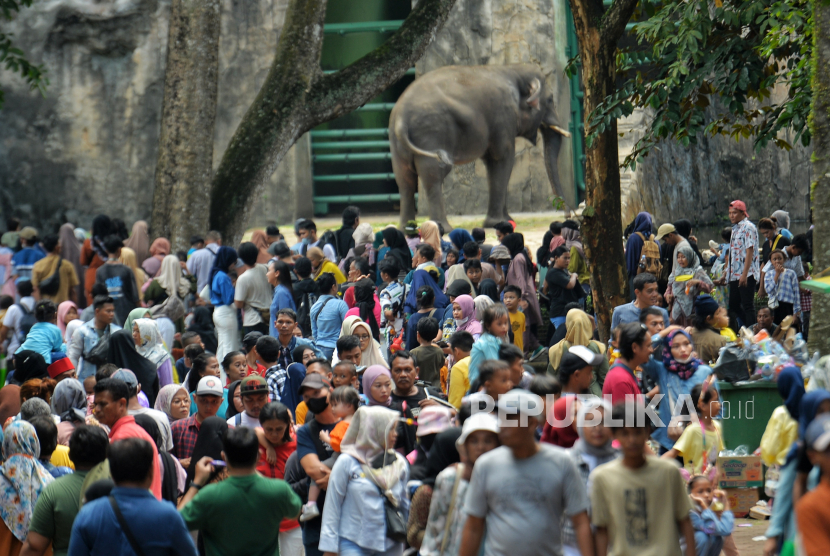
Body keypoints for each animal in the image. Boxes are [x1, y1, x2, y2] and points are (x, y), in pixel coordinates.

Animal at [390, 64, 572, 229]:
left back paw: (407, 229)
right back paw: (444, 228)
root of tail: (400, 119)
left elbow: (491, 164)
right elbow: (502, 159)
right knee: (433, 175)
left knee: (404, 181)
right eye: (550, 100)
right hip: (432, 132)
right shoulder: (503, 117)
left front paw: (506, 220)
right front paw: (497, 223)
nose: (567, 216)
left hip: (398, 145)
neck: (512, 69)